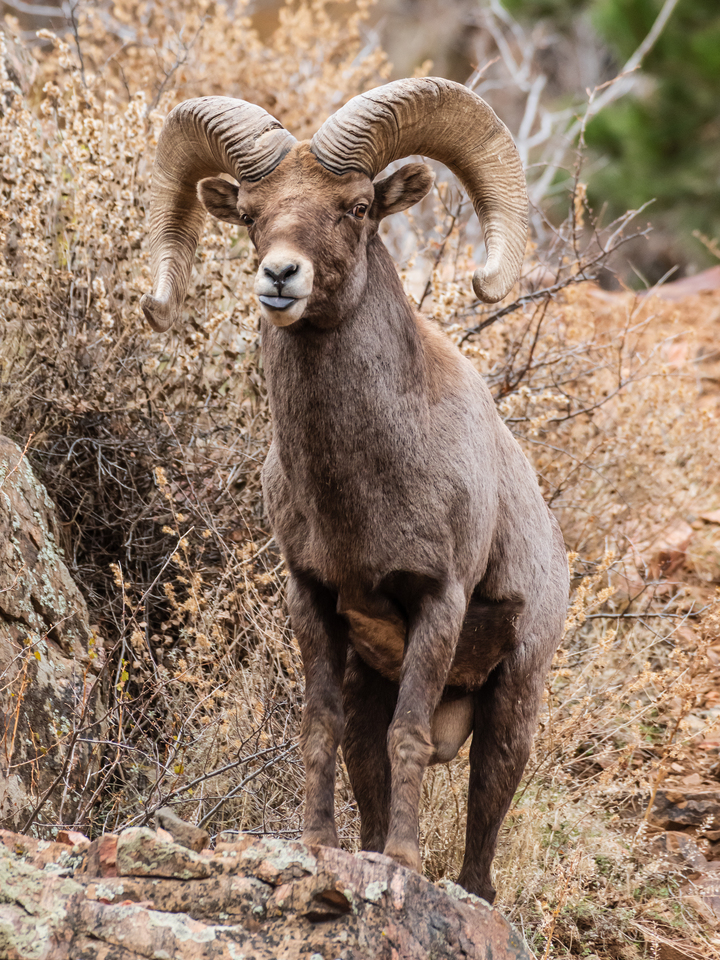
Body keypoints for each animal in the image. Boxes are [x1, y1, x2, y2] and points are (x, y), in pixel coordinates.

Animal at [140, 78, 569, 903]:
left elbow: (410, 736)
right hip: (376, 677)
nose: (281, 278)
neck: (364, 492)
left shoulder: (438, 603)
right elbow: (320, 728)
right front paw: (318, 845)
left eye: (358, 206)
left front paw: (402, 861)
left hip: (513, 701)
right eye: (251, 213)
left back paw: (460, 889)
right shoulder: (314, 600)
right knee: (365, 754)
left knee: (484, 812)